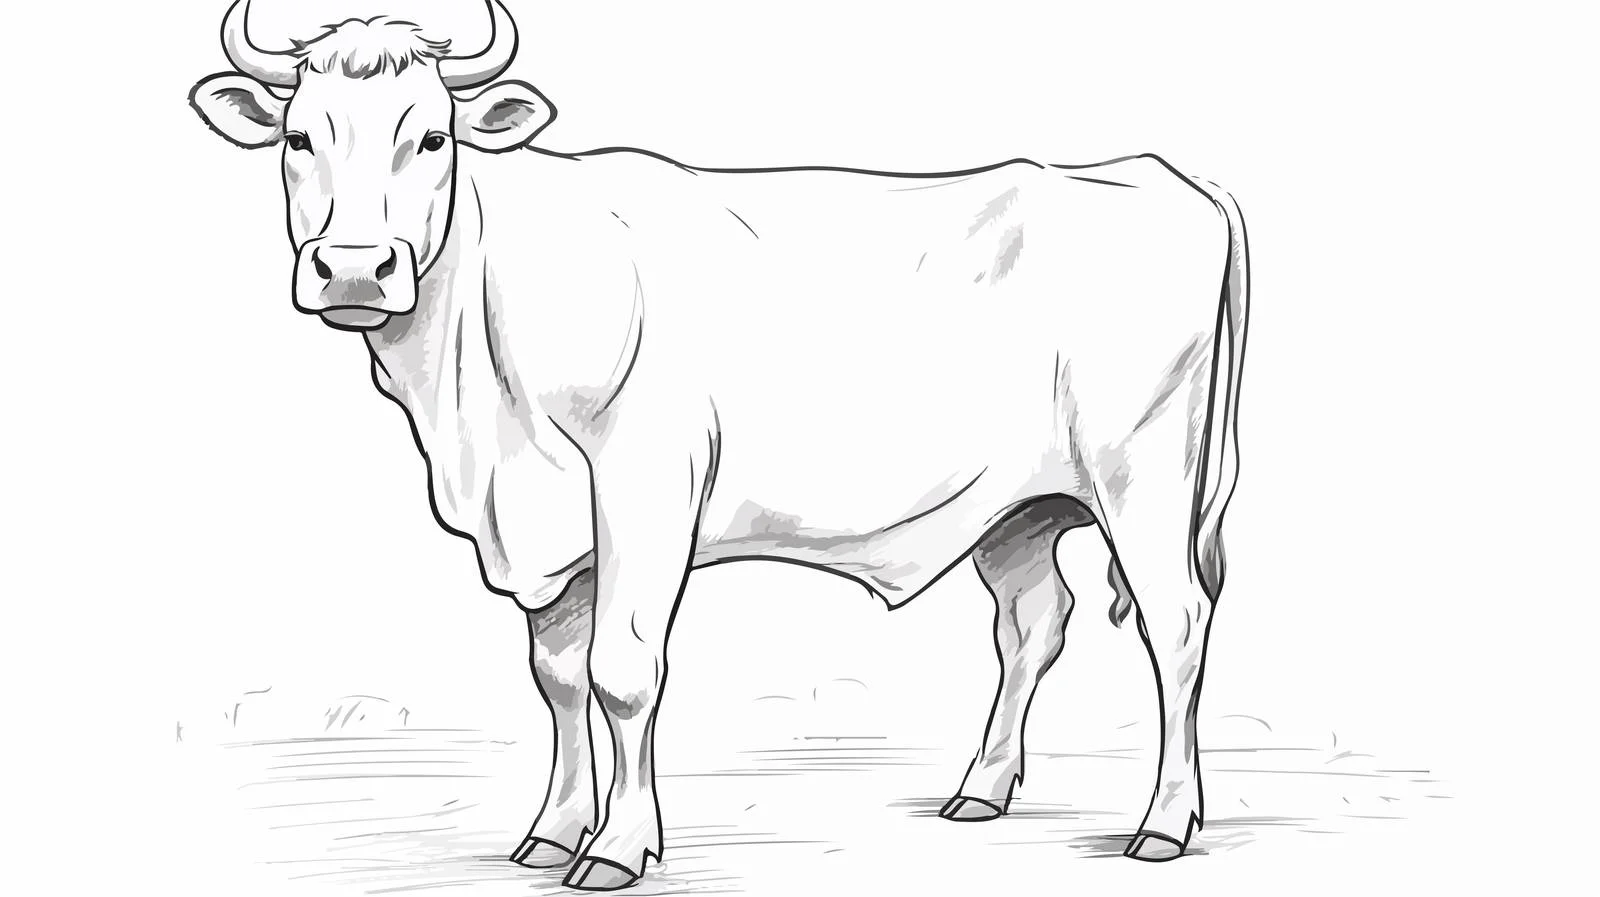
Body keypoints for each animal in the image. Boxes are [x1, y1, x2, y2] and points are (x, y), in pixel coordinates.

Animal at [189, 0, 1250, 889]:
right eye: (297, 137)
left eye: (433, 136)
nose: (353, 269)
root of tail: (1168, 174)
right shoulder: (551, 527)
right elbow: (557, 676)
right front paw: (550, 833)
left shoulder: (644, 485)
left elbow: (622, 670)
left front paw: (617, 848)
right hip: (1018, 509)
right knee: (1033, 625)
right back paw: (980, 791)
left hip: (1142, 474)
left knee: (1178, 624)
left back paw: (1164, 823)